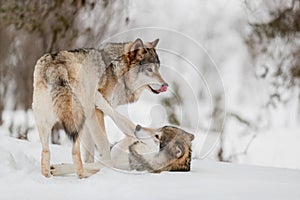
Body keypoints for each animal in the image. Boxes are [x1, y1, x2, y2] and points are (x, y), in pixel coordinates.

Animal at [33, 38, 169, 177]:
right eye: (149, 69)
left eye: (158, 69)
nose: (166, 85)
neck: (117, 71)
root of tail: (56, 64)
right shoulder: (95, 112)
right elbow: (103, 143)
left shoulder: (88, 120)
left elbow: (89, 153)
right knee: (74, 151)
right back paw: (82, 175)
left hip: (47, 123)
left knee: (46, 151)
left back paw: (47, 176)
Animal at [49, 126, 195, 176]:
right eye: (157, 129)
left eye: (157, 136)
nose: (137, 126)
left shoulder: (108, 165)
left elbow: (85, 166)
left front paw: (56, 169)